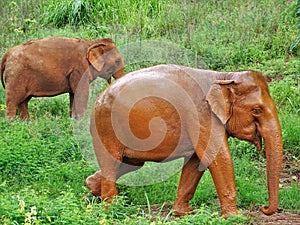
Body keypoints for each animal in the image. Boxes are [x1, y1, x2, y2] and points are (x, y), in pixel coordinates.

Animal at [85, 64, 282, 217]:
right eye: (257, 110)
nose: (262, 207)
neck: (224, 77)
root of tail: (97, 99)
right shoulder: (201, 115)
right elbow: (217, 156)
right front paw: (235, 217)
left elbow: (196, 161)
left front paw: (184, 213)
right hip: (106, 127)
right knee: (112, 163)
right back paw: (111, 209)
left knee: (128, 163)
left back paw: (92, 188)